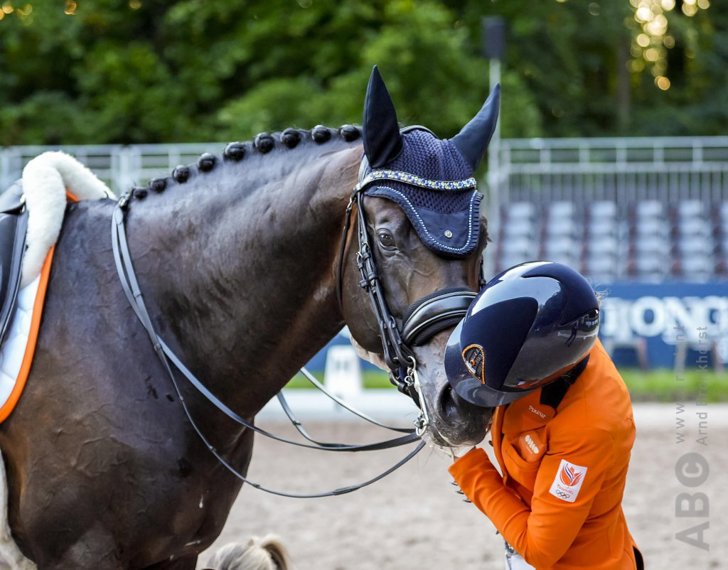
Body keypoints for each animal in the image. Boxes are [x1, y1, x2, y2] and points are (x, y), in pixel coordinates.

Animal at [0, 65, 498, 564]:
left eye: (486, 238)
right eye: (387, 237)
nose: (464, 396)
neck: (144, 334)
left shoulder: (177, 552)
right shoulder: (82, 551)